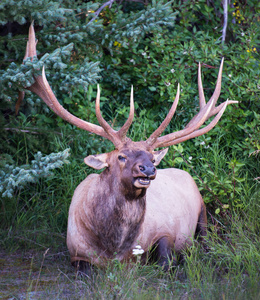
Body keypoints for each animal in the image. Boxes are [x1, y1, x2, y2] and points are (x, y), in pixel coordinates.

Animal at [22, 23, 238, 272]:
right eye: (121, 157)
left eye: (152, 158)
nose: (148, 170)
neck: (114, 250)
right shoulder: (75, 252)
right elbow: (84, 269)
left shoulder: (166, 231)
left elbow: (166, 261)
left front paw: (178, 259)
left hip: (202, 209)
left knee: (206, 239)